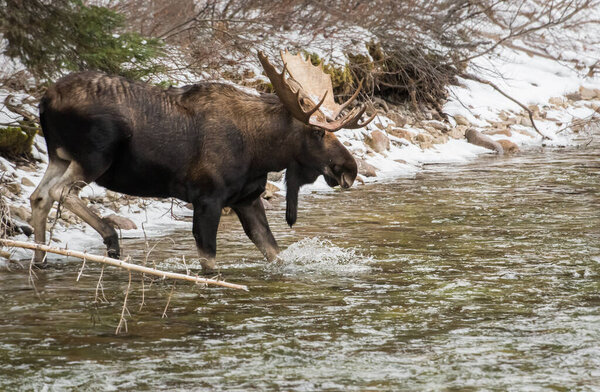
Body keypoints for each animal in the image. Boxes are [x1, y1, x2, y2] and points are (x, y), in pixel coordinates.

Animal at [31, 50, 376, 272]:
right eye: (317, 132)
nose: (350, 169)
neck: (260, 151)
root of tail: (44, 101)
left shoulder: (247, 199)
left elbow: (274, 253)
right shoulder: (207, 198)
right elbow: (209, 261)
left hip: (58, 156)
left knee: (38, 196)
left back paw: (40, 257)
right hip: (95, 156)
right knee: (59, 192)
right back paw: (110, 238)